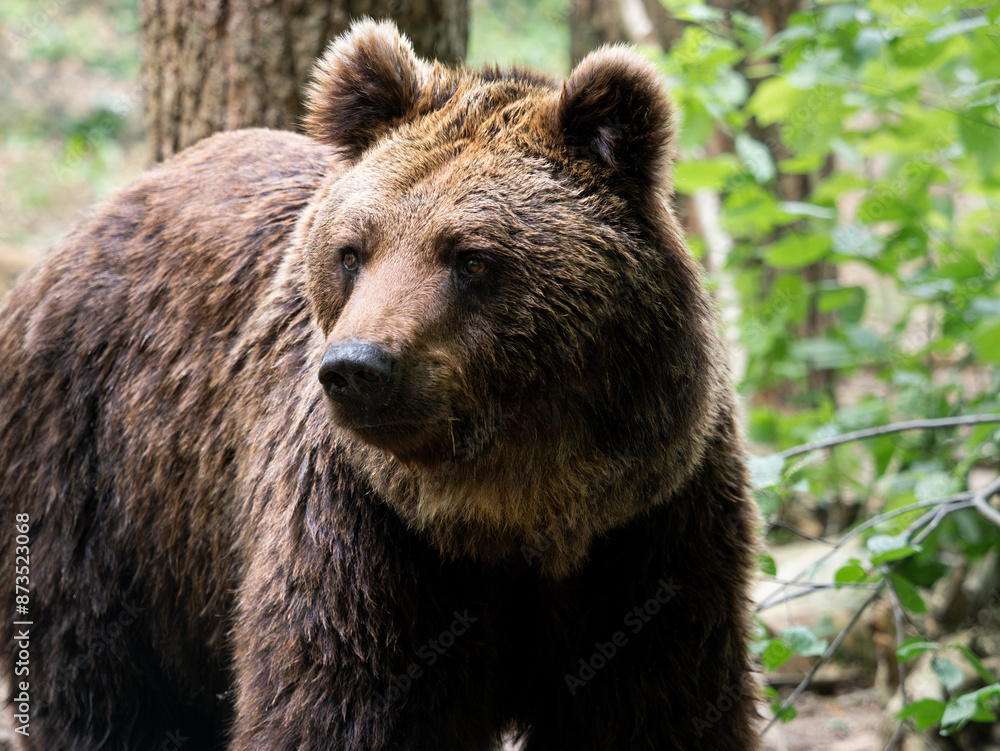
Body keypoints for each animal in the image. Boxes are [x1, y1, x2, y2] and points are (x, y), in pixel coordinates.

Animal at [0, 19, 760, 751]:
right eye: (352, 252)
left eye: (471, 257)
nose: (355, 367)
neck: (515, 506)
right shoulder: (367, 535)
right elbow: (339, 702)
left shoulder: (650, 532)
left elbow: (654, 707)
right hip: (99, 481)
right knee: (99, 679)